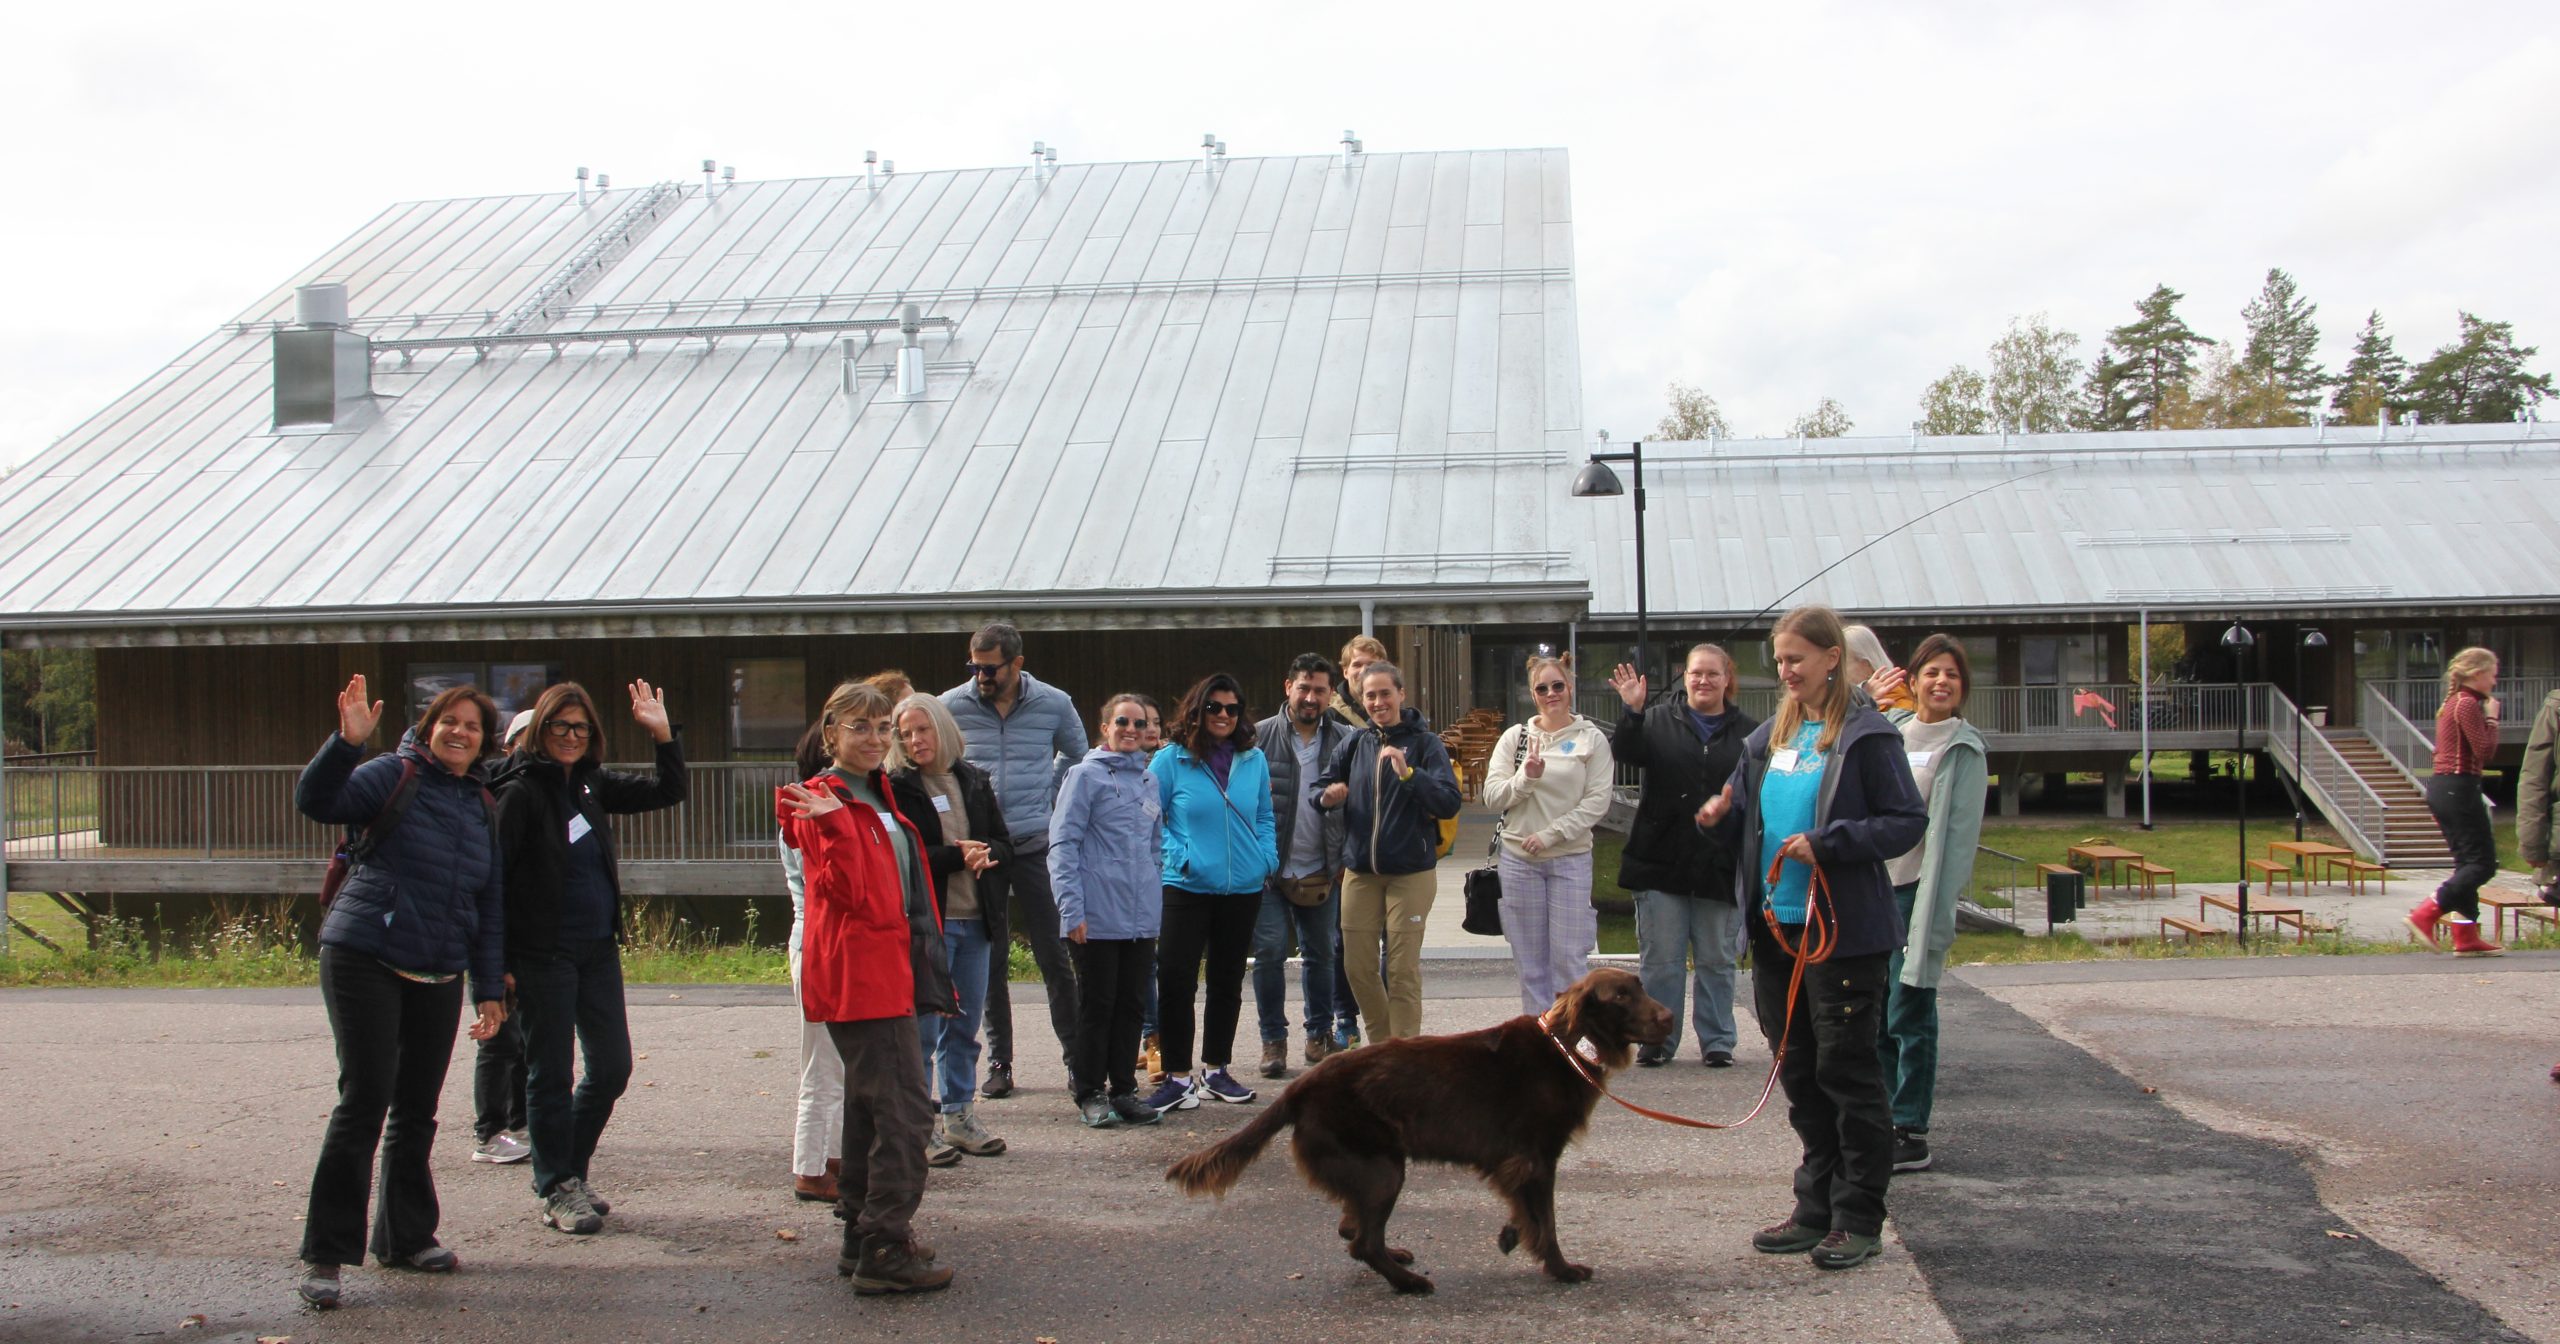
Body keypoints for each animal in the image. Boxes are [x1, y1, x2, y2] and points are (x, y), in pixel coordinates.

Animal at [1167, 962, 1679, 1290]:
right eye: (1620, 997)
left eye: (1640, 986)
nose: (1671, 1017)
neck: (1567, 1046)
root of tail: (1301, 1087)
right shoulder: (1536, 1156)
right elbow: (1546, 1221)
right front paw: (1563, 1269)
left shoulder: (1515, 1163)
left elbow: (1525, 1211)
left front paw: (1512, 1236)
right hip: (1382, 1167)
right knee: (1362, 1242)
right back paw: (1409, 1282)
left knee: (1351, 1228)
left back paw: (1398, 1259)